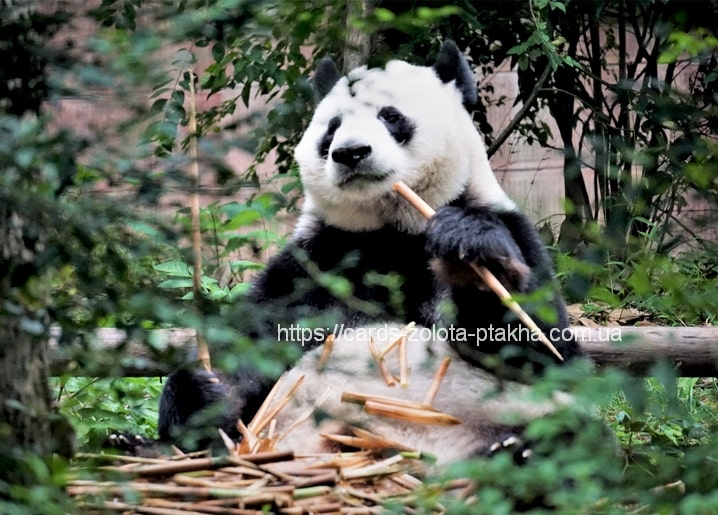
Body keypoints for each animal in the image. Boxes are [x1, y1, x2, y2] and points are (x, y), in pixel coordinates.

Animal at [157, 40, 584, 461]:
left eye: (390, 116)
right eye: (332, 128)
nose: (350, 152)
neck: (390, 232)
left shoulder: (513, 232)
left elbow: (546, 357)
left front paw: (471, 249)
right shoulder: (315, 263)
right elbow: (254, 341)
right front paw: (203, 394)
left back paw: (514, 451)